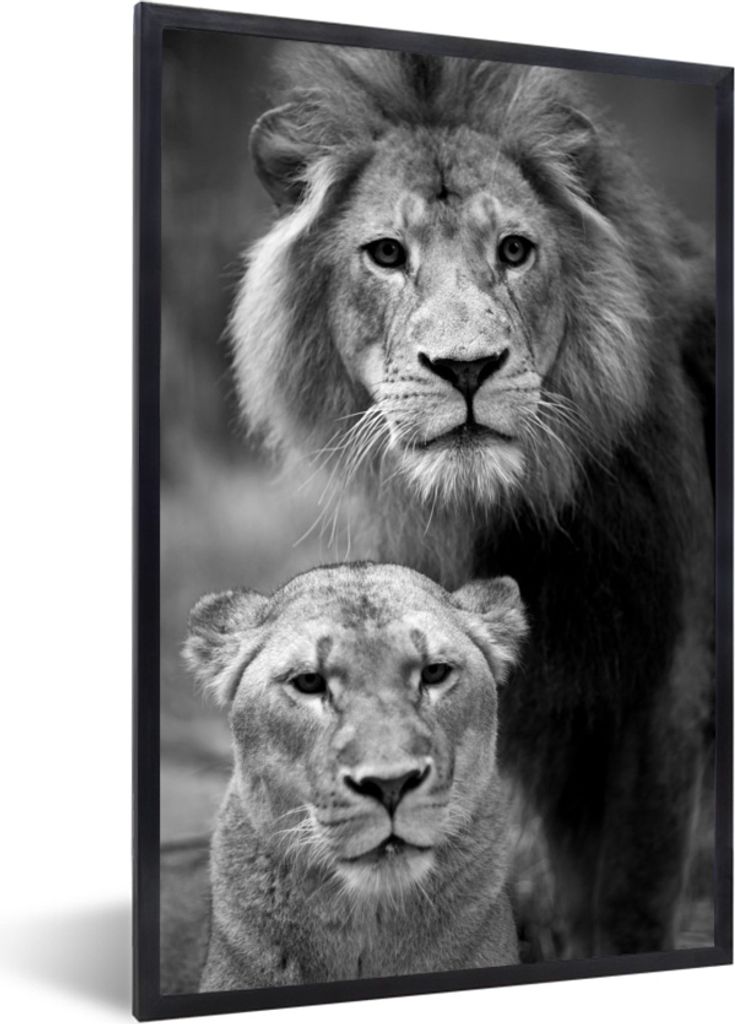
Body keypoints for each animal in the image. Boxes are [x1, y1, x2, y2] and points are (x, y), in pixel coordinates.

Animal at [229, 47, 715, 958]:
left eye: (515, 249)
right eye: (386, 253)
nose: (466, 367)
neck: (504, 515)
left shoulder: (666, 677)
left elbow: (631, 896)